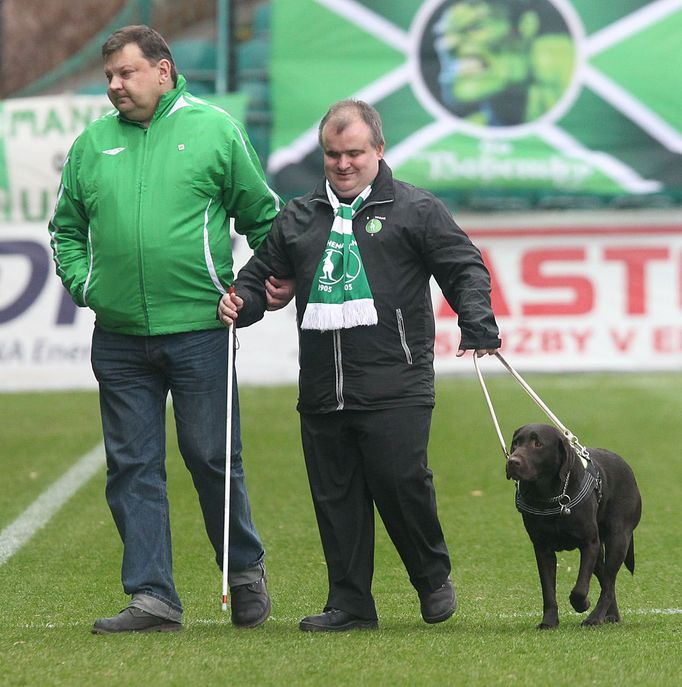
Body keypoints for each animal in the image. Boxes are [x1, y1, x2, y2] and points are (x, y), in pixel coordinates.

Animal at [504, 424, 644, 628]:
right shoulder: (542, 549)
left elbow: (580, 589)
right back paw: (612, 616)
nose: (512, 461)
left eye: (537, 444)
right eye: (516, 443)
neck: (548, 496)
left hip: (618, 540)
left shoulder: (589, 543)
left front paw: (582, 604)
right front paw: (549, 621)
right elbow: (548, 591)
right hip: (600, 551)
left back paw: (595, 618)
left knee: (609, 583)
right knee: (606, 582)